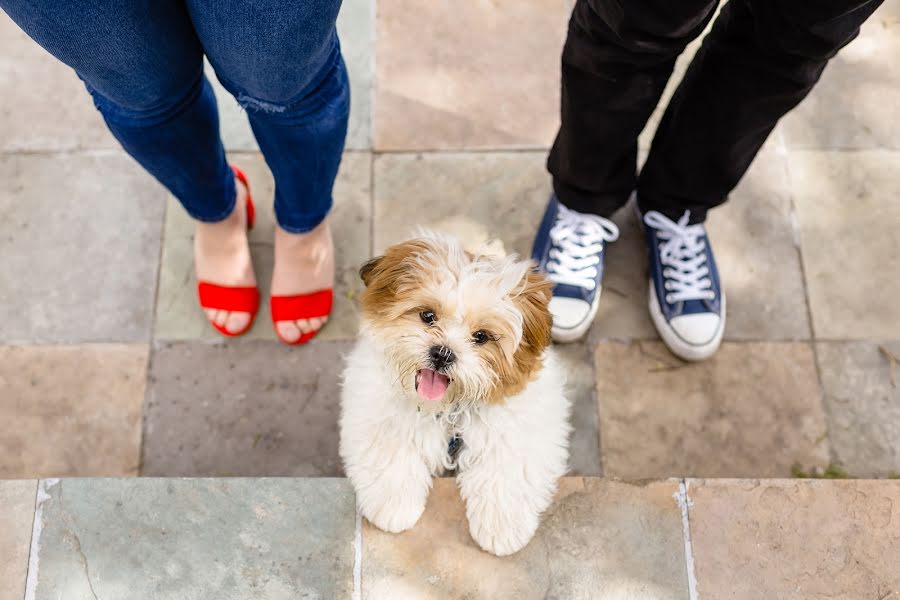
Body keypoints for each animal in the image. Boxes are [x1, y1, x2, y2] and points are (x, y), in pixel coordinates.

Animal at [338, 232, 568, 556]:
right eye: (427, 316)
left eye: (481, 336)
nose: (442, 353)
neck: (449, 409)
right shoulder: (378, 409)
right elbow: (392, 448)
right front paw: (394, 505)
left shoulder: (522, 427)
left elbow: (505, 468)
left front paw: (501, 526)